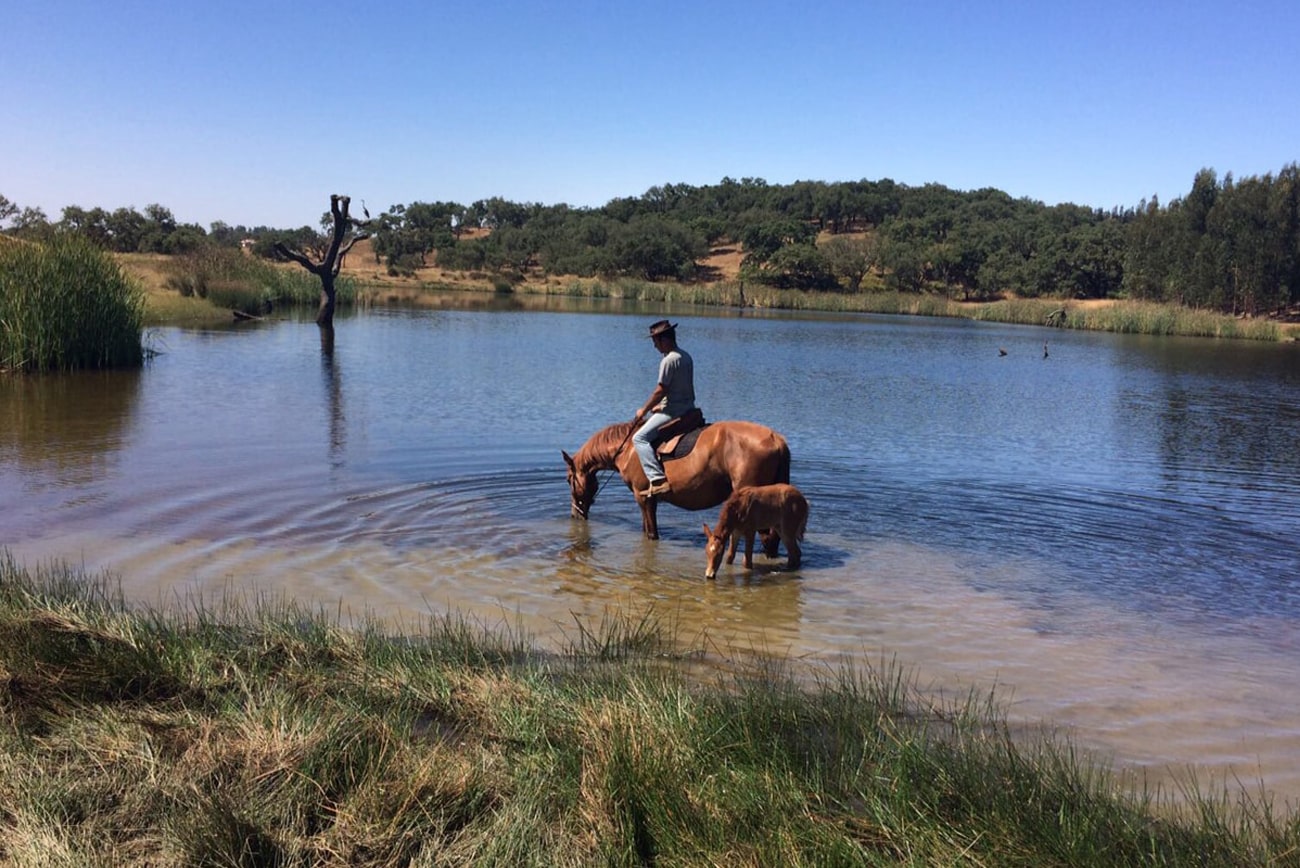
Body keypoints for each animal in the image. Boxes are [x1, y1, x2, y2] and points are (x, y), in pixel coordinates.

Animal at [561, 415, 790, 537]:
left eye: (568, 480)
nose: (574, 515)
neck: (627, 448)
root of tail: (777, 439)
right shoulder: (650, 499)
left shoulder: (642, 497)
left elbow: (651, 533)